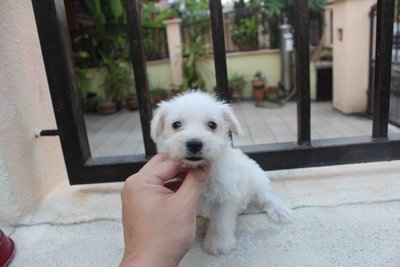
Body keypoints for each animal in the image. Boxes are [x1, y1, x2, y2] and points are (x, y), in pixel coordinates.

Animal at [150, 91, 294, 256]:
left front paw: (218, 244)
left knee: (268, 196)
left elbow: (220, 222)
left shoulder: (225, 197)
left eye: (212, 124)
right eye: (176, 124)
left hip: (258, 180)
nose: (194, 144)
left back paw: (281, 211)